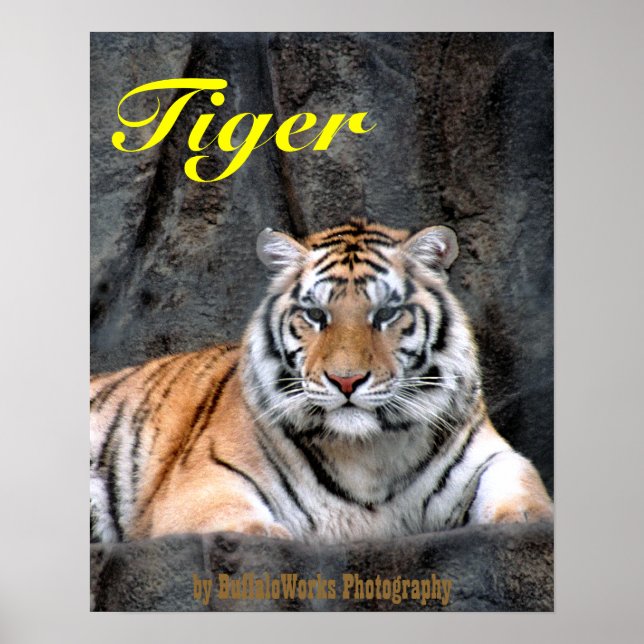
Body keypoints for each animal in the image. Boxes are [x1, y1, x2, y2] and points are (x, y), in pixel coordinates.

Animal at [90, 219, 553, 544]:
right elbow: (234, 522)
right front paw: (269, 536)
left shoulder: (492, 455)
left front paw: (526, 520)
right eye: (315, 315)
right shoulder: (204, 480)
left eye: (386, 313)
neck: (366, 453)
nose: (346, 381)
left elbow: (522, 486)